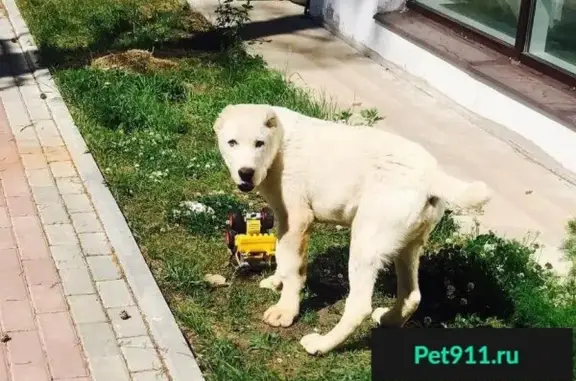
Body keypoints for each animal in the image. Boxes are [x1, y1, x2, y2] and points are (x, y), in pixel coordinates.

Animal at [212, 103, 490, 354]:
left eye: (259, 143)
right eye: (232, 142)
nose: (246, 173)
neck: (279, 144)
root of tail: (432, 174)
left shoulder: (298, 220)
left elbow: (294, 270)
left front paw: (285, 311)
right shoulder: (284, 219)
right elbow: (282, 254)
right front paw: (276, 281)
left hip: (364, 244)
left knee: (359, 306)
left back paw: (322, 345)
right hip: (407, 246)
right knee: (412, 295)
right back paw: (388, 319)